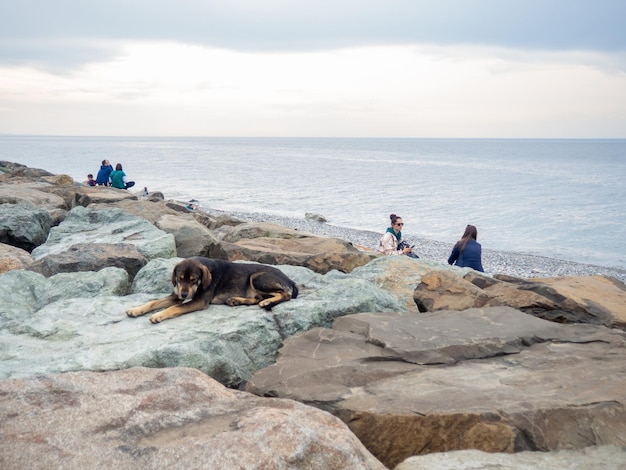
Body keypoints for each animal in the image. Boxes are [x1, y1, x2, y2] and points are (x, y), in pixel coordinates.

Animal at [126, 258, 298, 324]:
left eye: (193, 280)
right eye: (180, 278)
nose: (184, 294)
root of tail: (290, 279)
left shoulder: (199, 301)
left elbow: (175, 307)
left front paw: (158, 315)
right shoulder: (175, 295)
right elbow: (153, 302)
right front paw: (136, 310)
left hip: (257, 277)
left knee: (285, 294)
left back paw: (267, 301)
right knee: (257, 298)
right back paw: (236, 300)